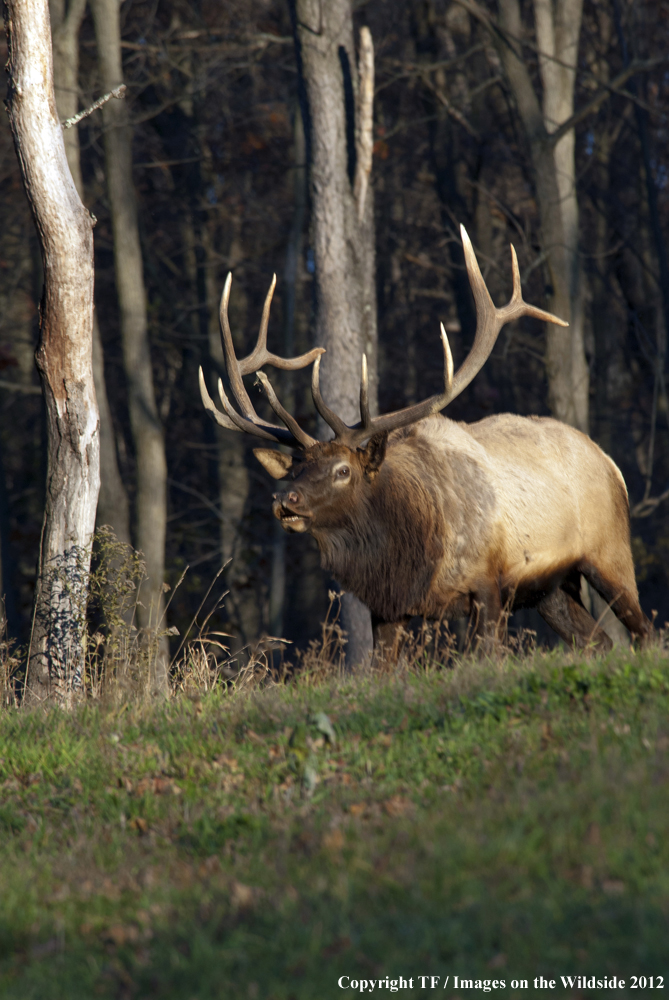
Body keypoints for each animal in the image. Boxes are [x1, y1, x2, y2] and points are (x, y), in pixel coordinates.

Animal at [200, 227, 652, 656]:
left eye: (343, 470)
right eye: (294, 468)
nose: (284, 500)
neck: (412, 558)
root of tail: (611, 464)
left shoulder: (490, 584)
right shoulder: (386, 608)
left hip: (609, 553)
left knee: (643, 631)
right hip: (553, 588)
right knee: (599, 641)